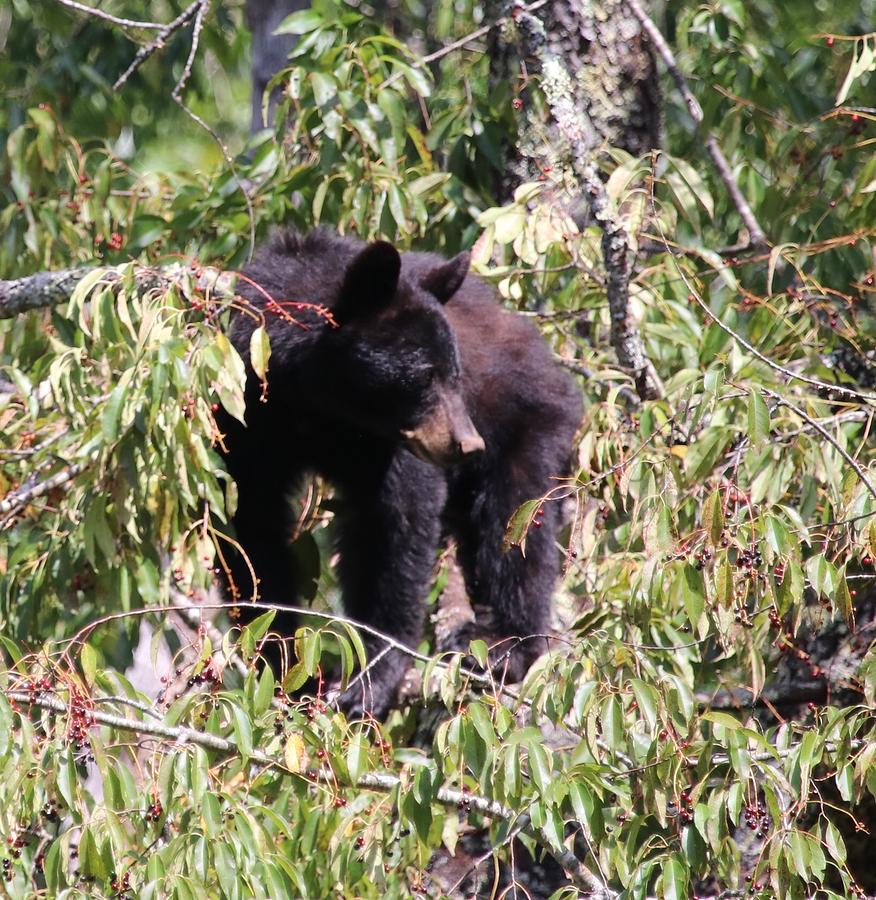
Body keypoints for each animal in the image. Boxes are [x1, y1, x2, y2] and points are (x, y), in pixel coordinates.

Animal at [217, 232, 580, 716]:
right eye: (425, 376)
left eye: (456, 373)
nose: (467, 443)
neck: (314, 403)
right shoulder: (243, 416)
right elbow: (249, 529)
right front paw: (280, 660)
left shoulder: (388, 448)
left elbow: (394, 528)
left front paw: (369, 678)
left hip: (532, 420)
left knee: (518, 523)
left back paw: (504, 645)